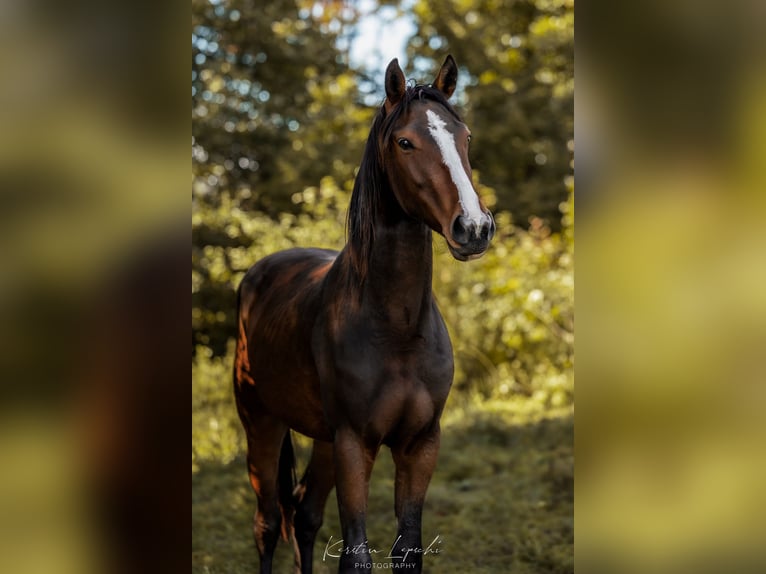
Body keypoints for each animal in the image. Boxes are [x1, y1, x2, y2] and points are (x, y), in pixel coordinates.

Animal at [233, 55, 495, 574]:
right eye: (405, 142)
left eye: (466, 137)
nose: (474, 228)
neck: (396, 330)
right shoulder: (355, 444)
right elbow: (354, 555)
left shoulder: (419, 445)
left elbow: (407, 548)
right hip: (262, 424)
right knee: (268, 522)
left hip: (324, 441)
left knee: (304, 516)